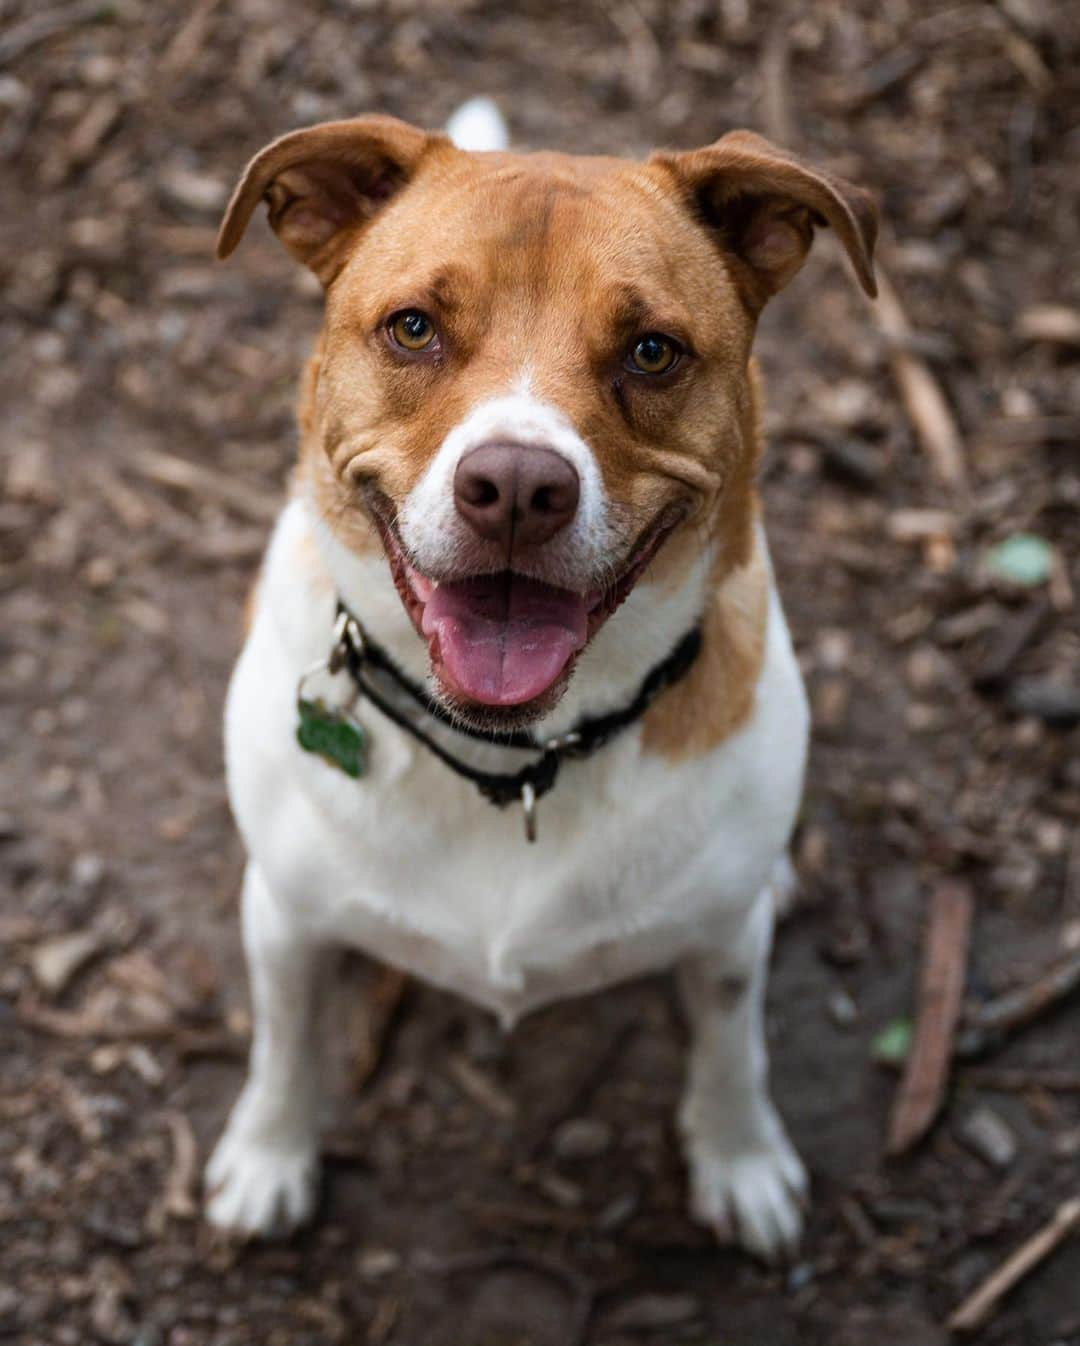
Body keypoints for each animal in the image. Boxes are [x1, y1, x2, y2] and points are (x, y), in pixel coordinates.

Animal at [204, 97, 872, 1259]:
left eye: (652, 350)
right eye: (413, 328)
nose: (516, 487)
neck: (511, 760)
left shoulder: (723, 942)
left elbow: (733, 1044)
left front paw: (740, 1157)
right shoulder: (284, 917)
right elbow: (285, 1042)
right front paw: (269, 1155)